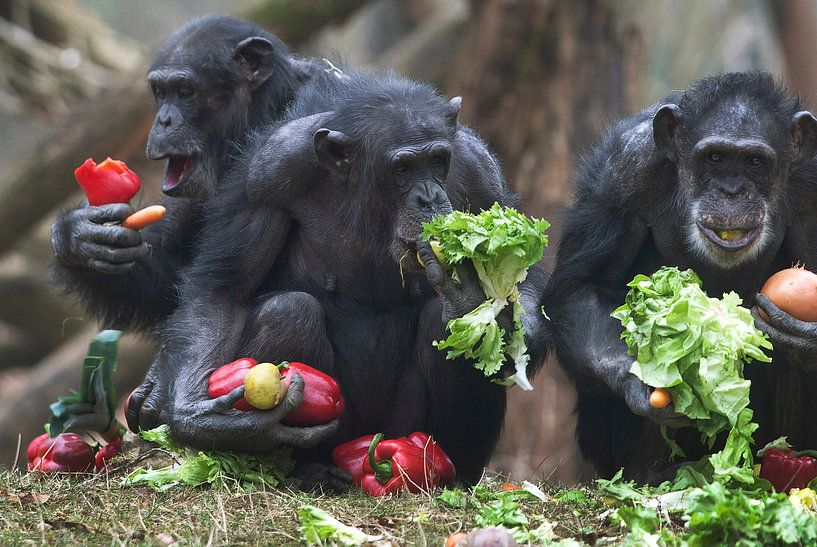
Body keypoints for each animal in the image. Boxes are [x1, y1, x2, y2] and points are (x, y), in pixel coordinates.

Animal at [126, 71, 524, 484]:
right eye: (402, 168)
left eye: (437, 160)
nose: (429, 197)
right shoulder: (269, 171)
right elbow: (224, 290)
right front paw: (200, 417)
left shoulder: (480, 173)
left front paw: (469, 299)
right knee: (289, 310)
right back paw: (309, 468)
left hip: (402, 428)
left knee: (441, 324)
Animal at [544, 69, 816, 484]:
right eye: (715, 157)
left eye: (755, 161)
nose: (731, 190)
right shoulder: (624, 170)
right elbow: (585, 286)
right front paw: (640, 378)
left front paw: (804, 337)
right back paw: (652, 473)